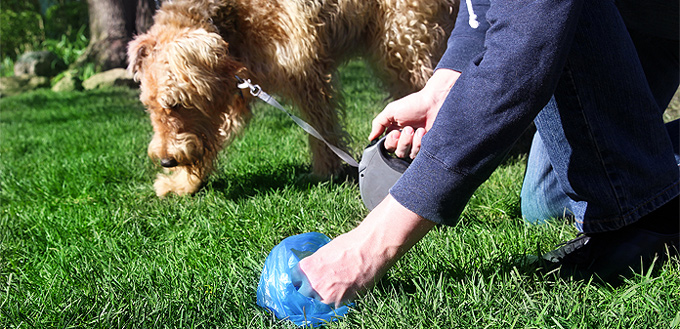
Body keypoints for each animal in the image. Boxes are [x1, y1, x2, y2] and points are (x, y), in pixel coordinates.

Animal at [127, 0, 456, 196]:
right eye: (149, 106)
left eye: (176, 103)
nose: (166, 160)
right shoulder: (238, 89)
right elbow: (213, 139)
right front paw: (183, 184)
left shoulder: (304, 69)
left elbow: (321, 127)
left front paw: (325, 172)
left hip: (403, 42)